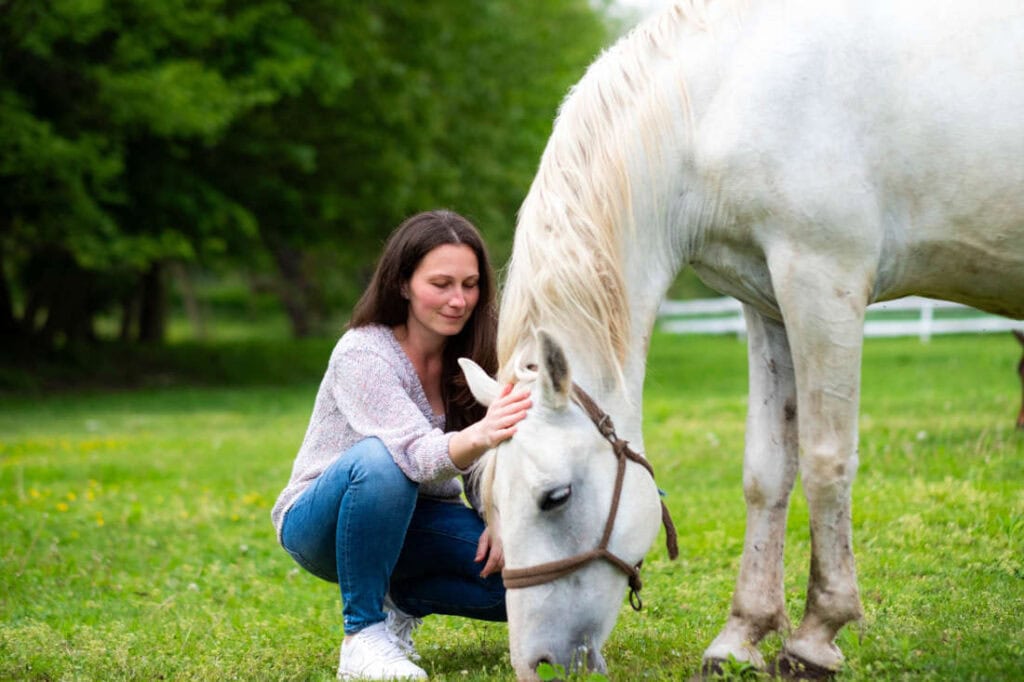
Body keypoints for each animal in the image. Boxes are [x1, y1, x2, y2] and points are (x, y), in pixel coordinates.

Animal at [459, 0, 1024, 679]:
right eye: (485, 501)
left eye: (555, 497)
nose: (536, 663)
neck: (727, 91)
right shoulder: (767, 303)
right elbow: (767, 471)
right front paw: (741, 636)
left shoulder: (822, 281)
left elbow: (826, 462)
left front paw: (815, 636)